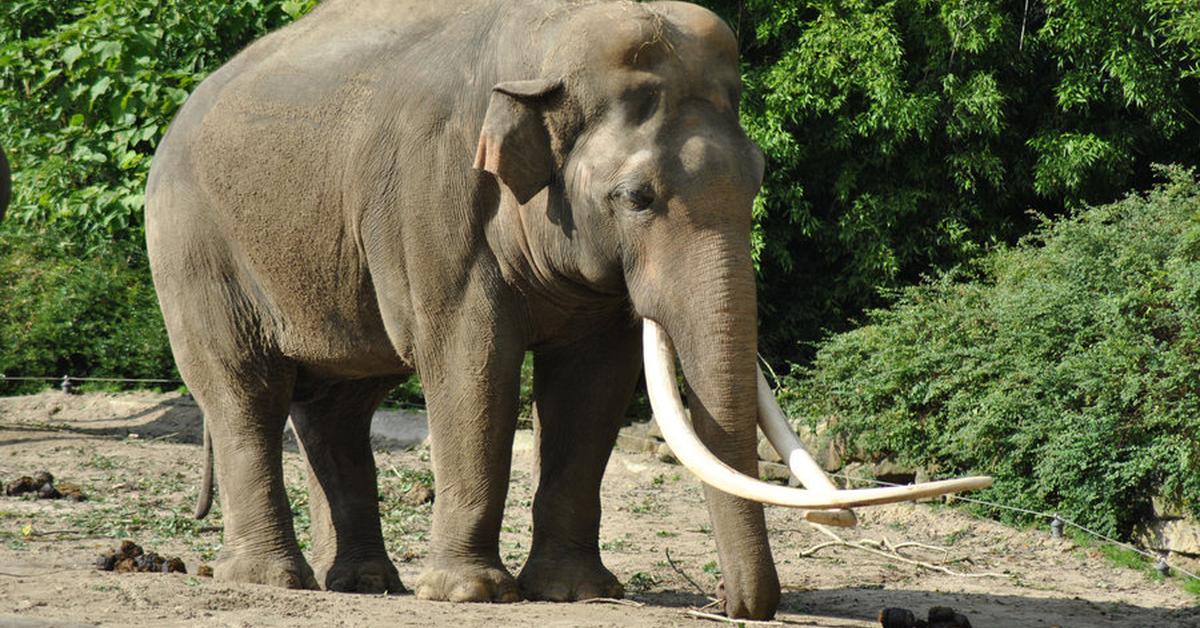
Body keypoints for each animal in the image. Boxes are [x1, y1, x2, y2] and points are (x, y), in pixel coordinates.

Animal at [147, 0, 993, 619]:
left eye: (757, 179)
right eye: (637, 197)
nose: (729, 602)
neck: (544, 45)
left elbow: (593, 386)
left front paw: (576, 593)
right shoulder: (434, 203)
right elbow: (472, 363)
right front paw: (470, 596)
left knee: (339, 405)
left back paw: (365, 585)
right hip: (193, 253)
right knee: (245, 391)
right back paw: (273, 581)